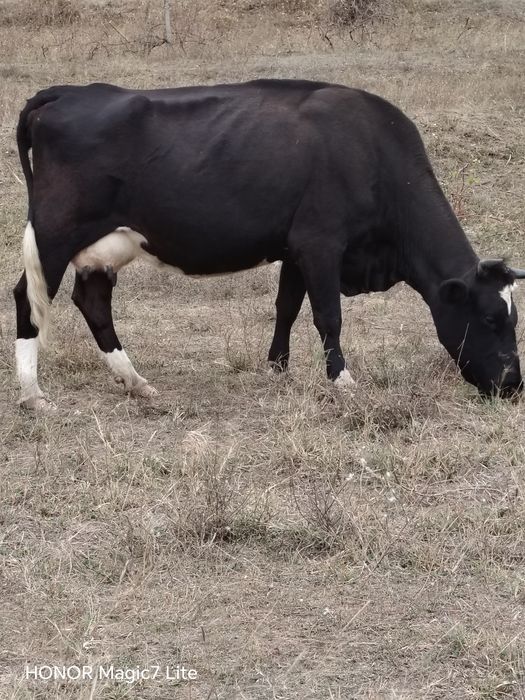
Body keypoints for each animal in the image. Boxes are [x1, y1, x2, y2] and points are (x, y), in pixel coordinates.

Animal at [13, 79, 525, 410]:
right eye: (490, 318)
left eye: (512, 317)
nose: (513, 384)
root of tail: (68, 91)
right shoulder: (321, 243)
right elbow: (328, 316)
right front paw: (342, 381)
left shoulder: (295, 249)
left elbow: (287, 308)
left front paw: (277, 368)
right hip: (53, 235)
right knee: (28, 298)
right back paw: (33, 394)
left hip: (103, 246)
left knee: (92, 301)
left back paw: (135, 381)